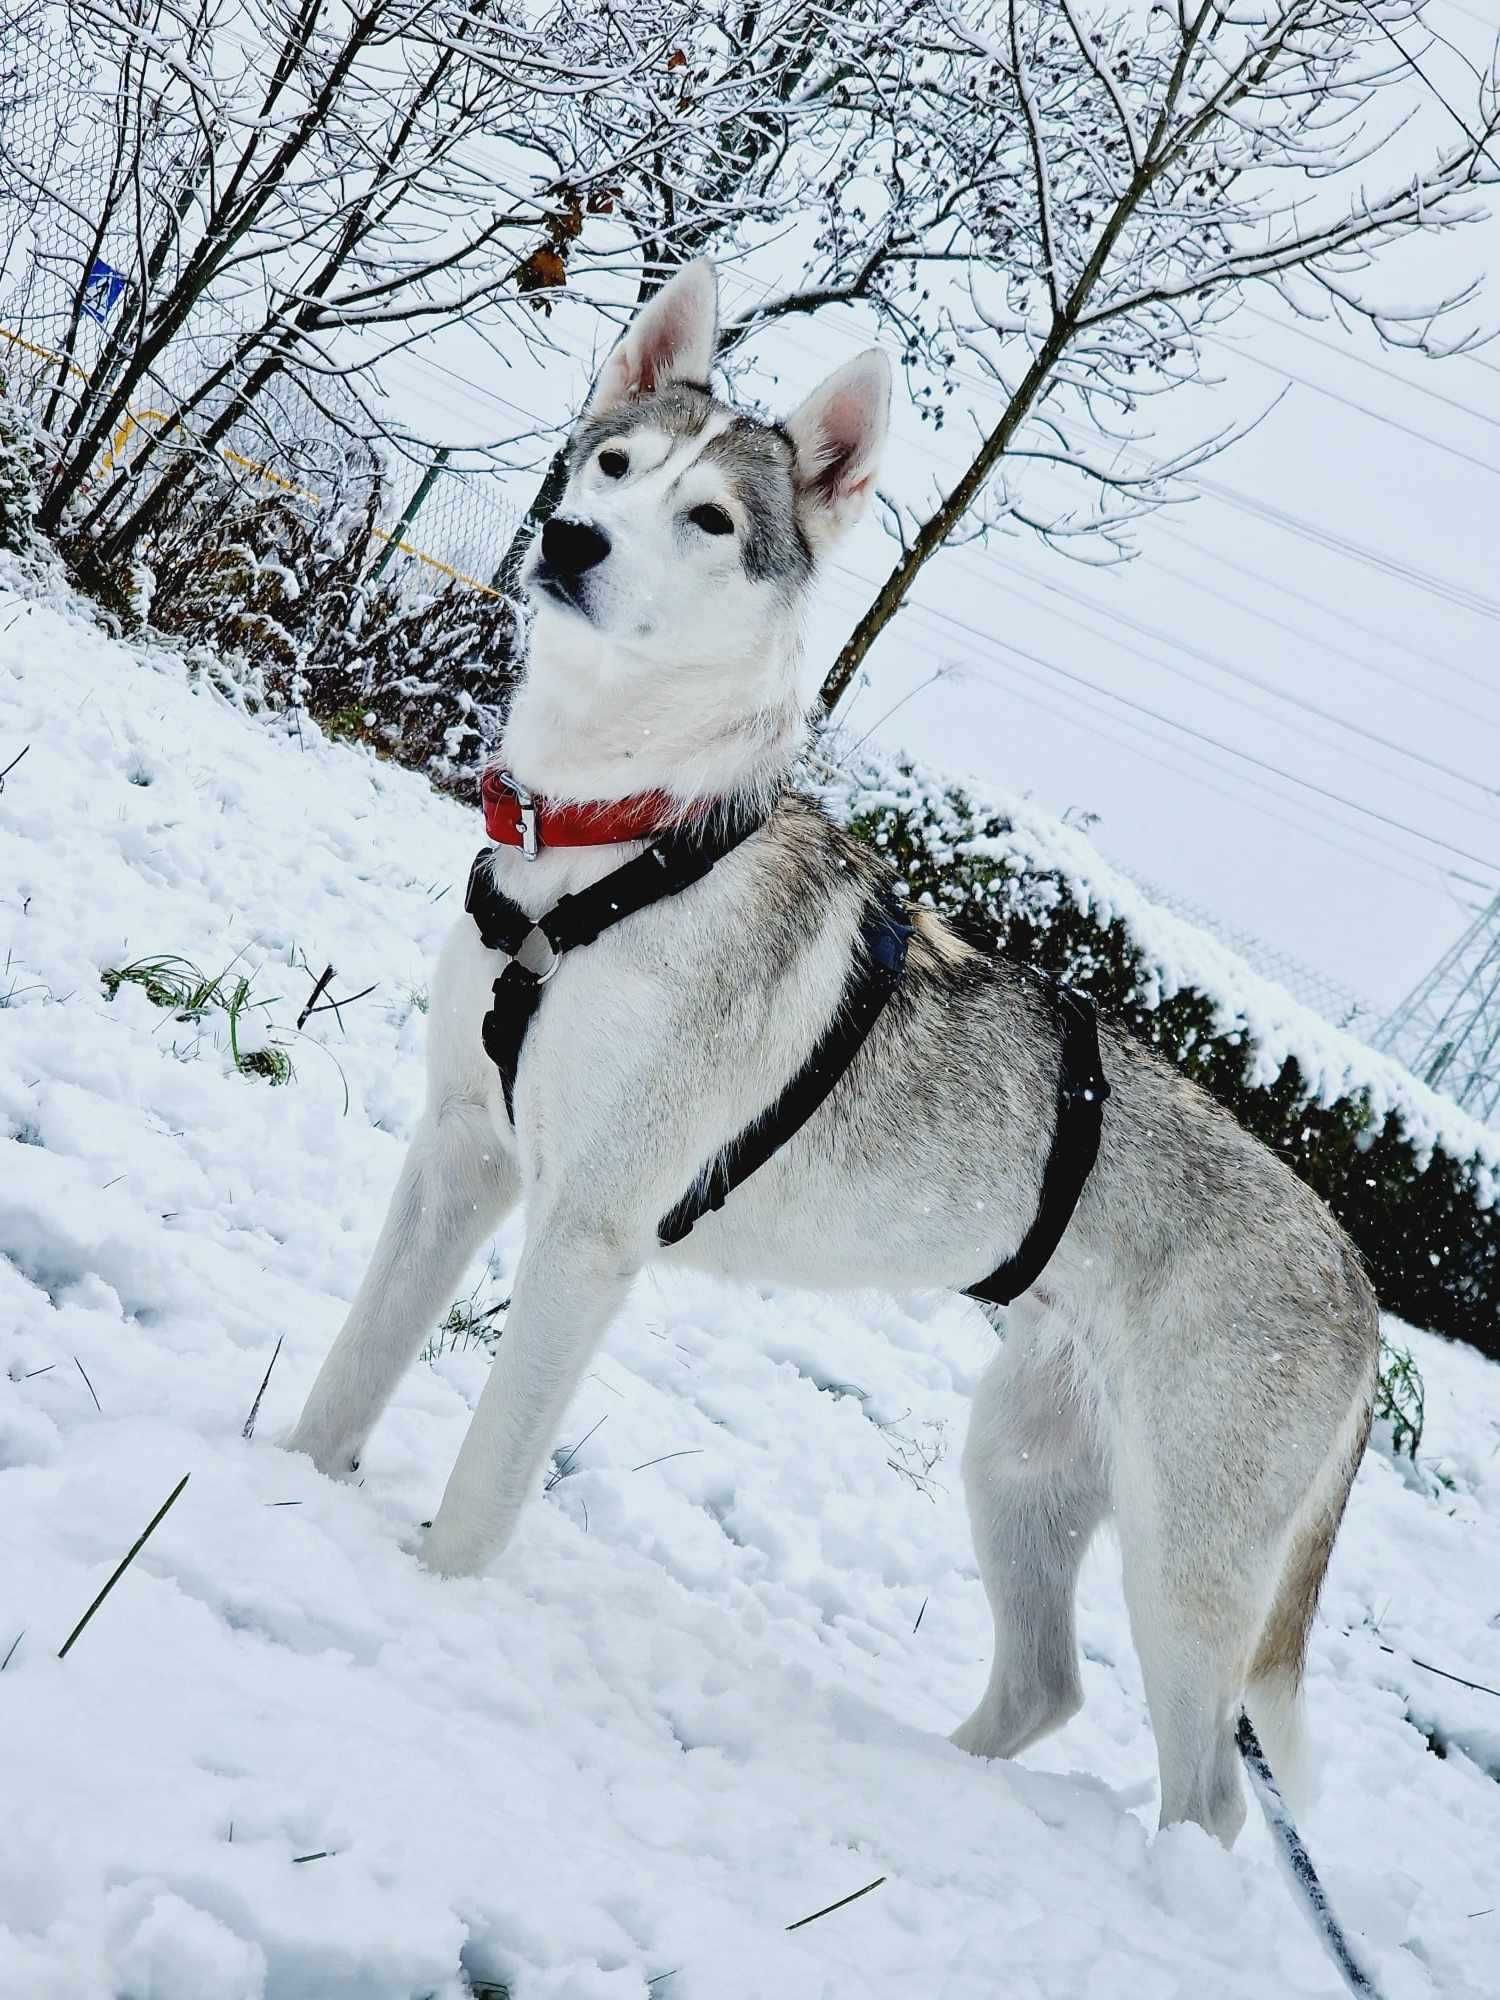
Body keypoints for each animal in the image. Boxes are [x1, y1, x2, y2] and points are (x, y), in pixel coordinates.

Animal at [288, 262, 1384, 1840]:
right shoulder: (459, 1153)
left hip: (1186, 1562)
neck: (612, 842)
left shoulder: (584, 1236)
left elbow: (488, 1476)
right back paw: (932, 1782)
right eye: (614, 465)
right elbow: (348, 1377)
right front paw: (279, 1489)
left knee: (1213, 1802)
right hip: (1026, 1468)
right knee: (1045, 1688)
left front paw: (426, 1606)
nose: (570, 537)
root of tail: (1362, 1283)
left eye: (710, 520)